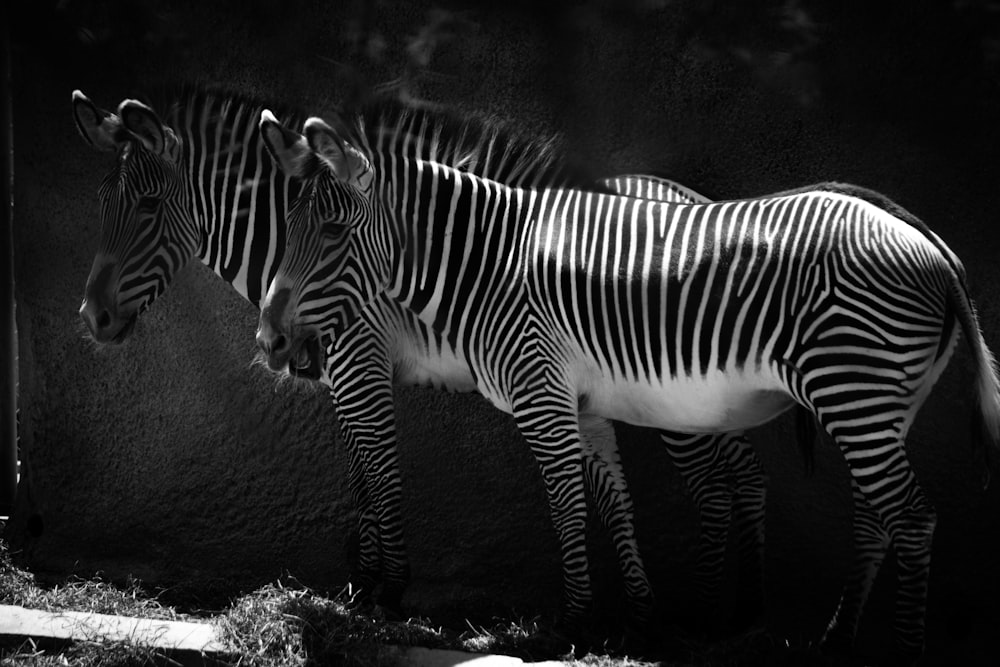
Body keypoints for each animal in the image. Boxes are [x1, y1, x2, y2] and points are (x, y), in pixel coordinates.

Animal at [68, 86, 764, 628]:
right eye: (100, 204)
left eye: (149, 207)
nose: (90, 319)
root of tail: (698, 199)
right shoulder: (335, 369)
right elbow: (360, 475)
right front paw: (363, 587)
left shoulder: (359, 359)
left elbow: (381, 470)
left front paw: (389, 591)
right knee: (744, 470)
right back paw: (729, 606)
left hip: (673, 390)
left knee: (710, 485)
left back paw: (703, 614)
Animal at [254, 109, 1000, 664]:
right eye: (286, 227)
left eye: (332, 230)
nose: (269, 343)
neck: (487, 267)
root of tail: (934, 246)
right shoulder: (579, 402)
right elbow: (613, 500)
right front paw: (634, 617)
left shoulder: (539, 389)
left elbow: (566, 505)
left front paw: (572, 624)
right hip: (876, 401)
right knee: (878, 514)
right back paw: (836, 640)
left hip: (852, 386)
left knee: (911, 515)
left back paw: (899, 650)